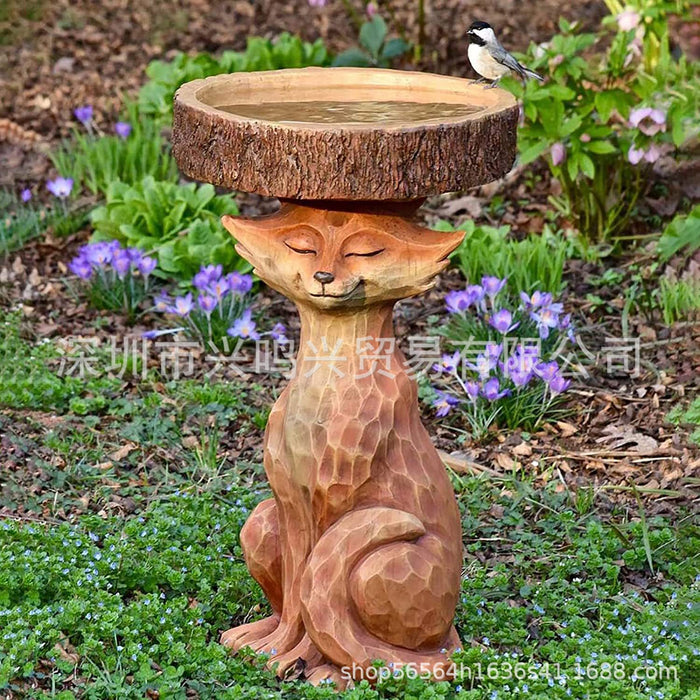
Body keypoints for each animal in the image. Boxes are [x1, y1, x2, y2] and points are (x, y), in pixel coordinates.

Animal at [219, 203, 465, 687]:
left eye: (364, 251)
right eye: (302, 246)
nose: (324, 276)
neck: (327, 385)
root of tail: (450, 636)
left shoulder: (333, 500)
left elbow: (314, 600)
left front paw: (304, 663)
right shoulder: (291, 503)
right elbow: (297, 595)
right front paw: (274, 650)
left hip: (379, 566)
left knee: (402, 655)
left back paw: (345, 672)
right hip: (261, 522)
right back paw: (254, 634)